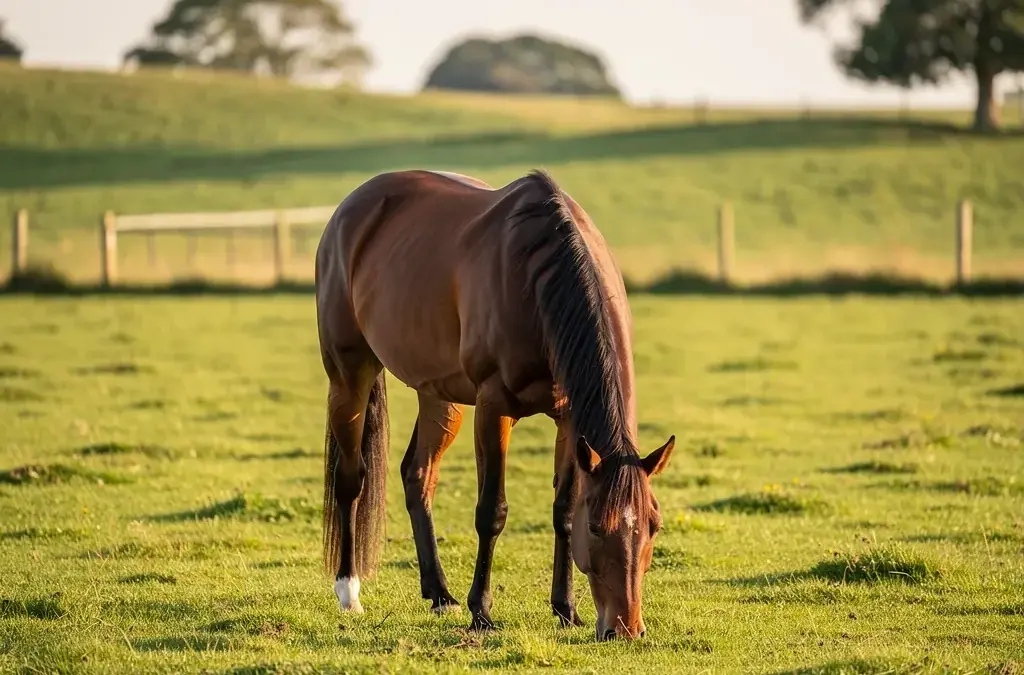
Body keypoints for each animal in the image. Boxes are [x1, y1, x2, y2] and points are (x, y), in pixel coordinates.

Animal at [314, 168, 676, 641]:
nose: (626, 629)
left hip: (439, 395)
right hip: (349, 377)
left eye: (653, 525)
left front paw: (566, 609)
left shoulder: (567, 417)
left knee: (418, 475)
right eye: (598, 527)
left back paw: (439, 593)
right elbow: (492, 511)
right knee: (350, 479)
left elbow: (563, 511)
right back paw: (349, 592)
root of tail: (350, 208)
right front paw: (481, 612)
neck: (537, 277)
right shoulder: (493, 407)